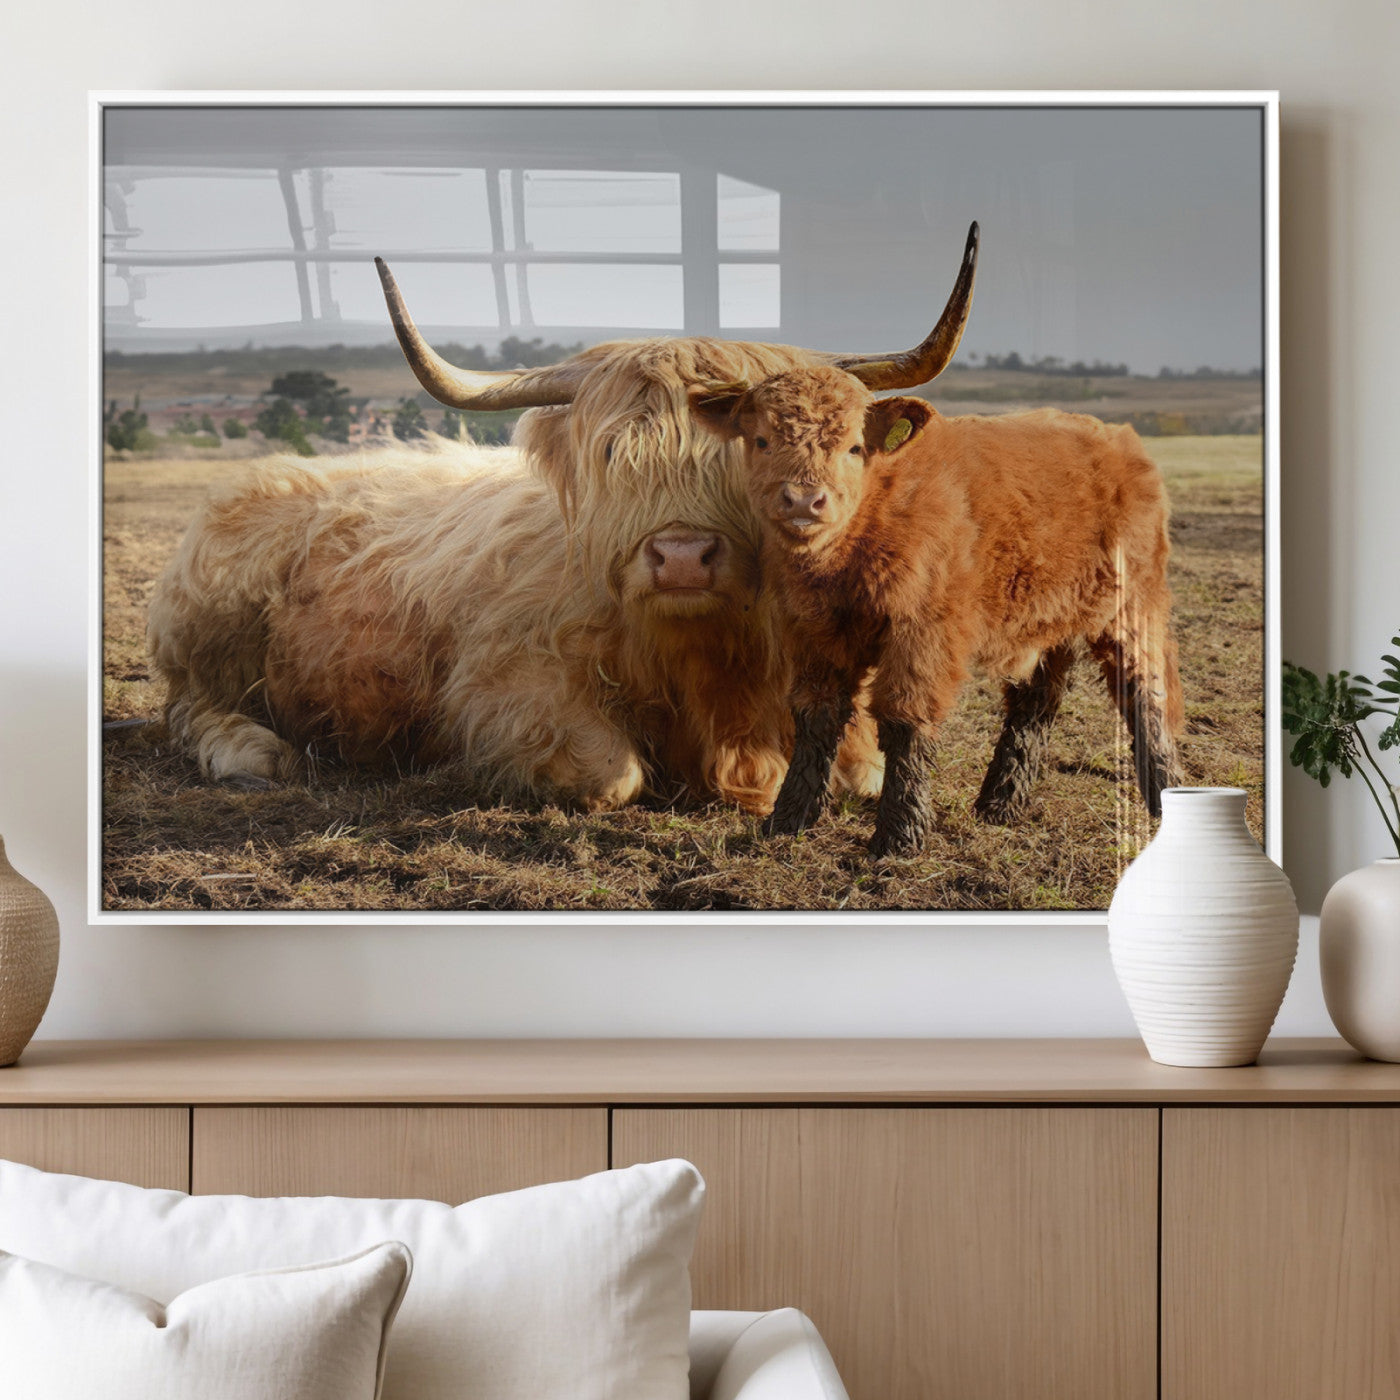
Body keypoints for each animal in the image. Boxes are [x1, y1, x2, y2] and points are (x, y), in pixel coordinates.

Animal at [147, 227, 981, 815]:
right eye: (613, 451)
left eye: (754, 447)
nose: (682, 557)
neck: (708, 662)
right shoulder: (502, 687)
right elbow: (610, 774)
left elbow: (863, 769)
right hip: (212, 630)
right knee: (190, 708)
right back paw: (252, 755)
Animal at [689, 363, 1184, 855]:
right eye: (761, 440)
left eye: (853, 446)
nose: (804, 501)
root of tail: (1119, 438)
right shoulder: (814, 631)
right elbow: (816, 716)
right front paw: (788, 821)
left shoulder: (922, 632)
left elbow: (904, 721)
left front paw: (899, 835)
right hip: (1046, 620)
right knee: (1036, 703)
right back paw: (1000, 804)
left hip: (1133, 607)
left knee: (1145, 692)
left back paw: (1165, 792)